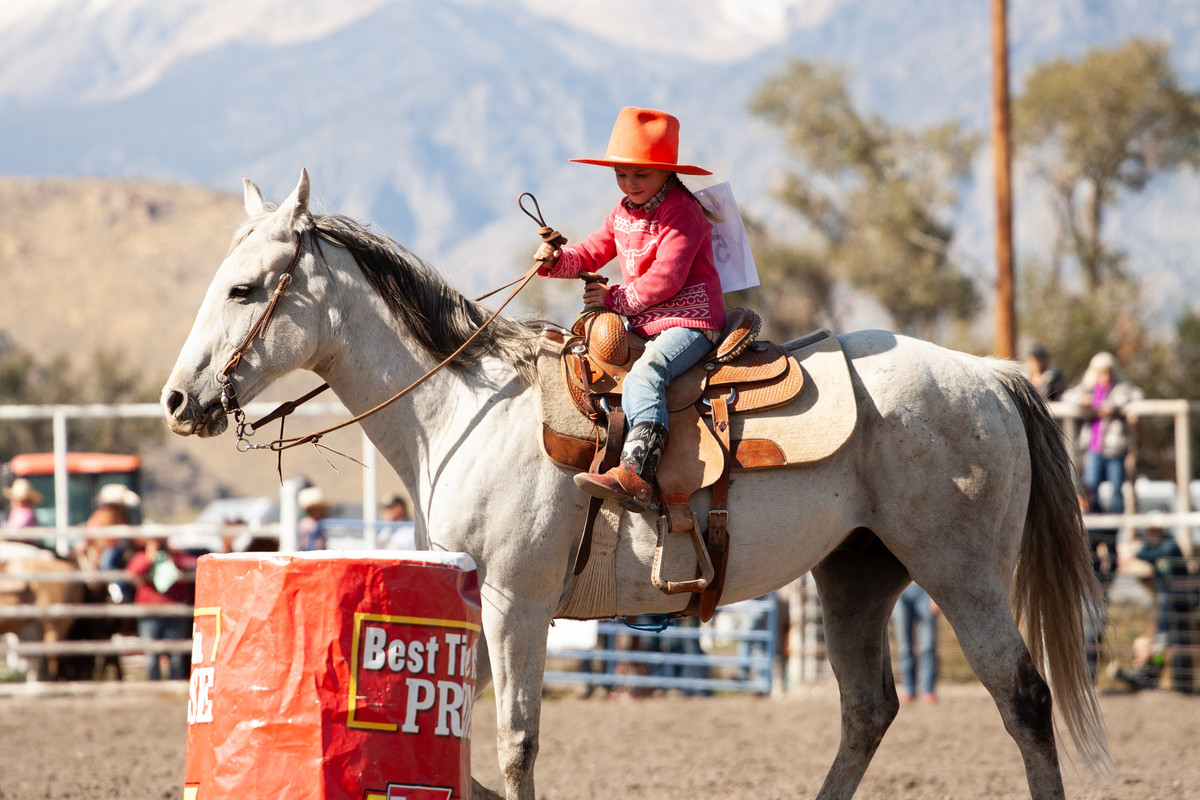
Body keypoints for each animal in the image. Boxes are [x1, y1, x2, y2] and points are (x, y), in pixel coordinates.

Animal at [162, 169, 1108, 800]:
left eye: (244, 288)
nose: (178, 400)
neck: (465, 408)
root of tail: (988, 375)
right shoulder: (471, 603)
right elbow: (461, 744)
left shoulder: (516, 600)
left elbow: (515, 742)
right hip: (857, 572)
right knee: (869, 710)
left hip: (961, 571)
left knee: (1022, 698)